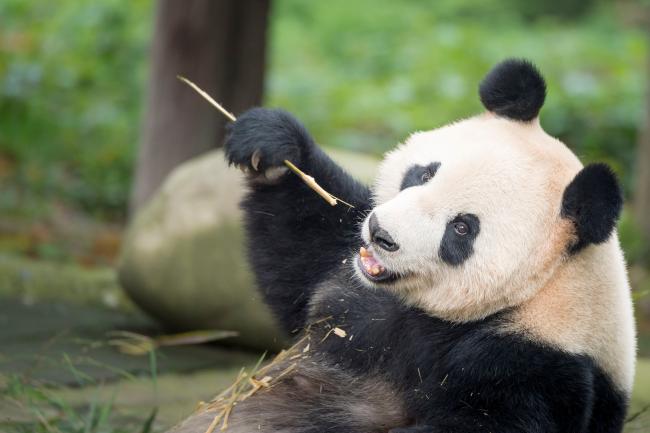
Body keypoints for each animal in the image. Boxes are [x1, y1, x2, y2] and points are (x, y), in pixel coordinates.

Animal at [170, 60, 636, 432]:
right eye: (425, 173)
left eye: (462, 228)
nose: (381, 234)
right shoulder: (345, 282)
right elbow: (301, 257)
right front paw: (271, 143)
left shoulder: (537, 366)